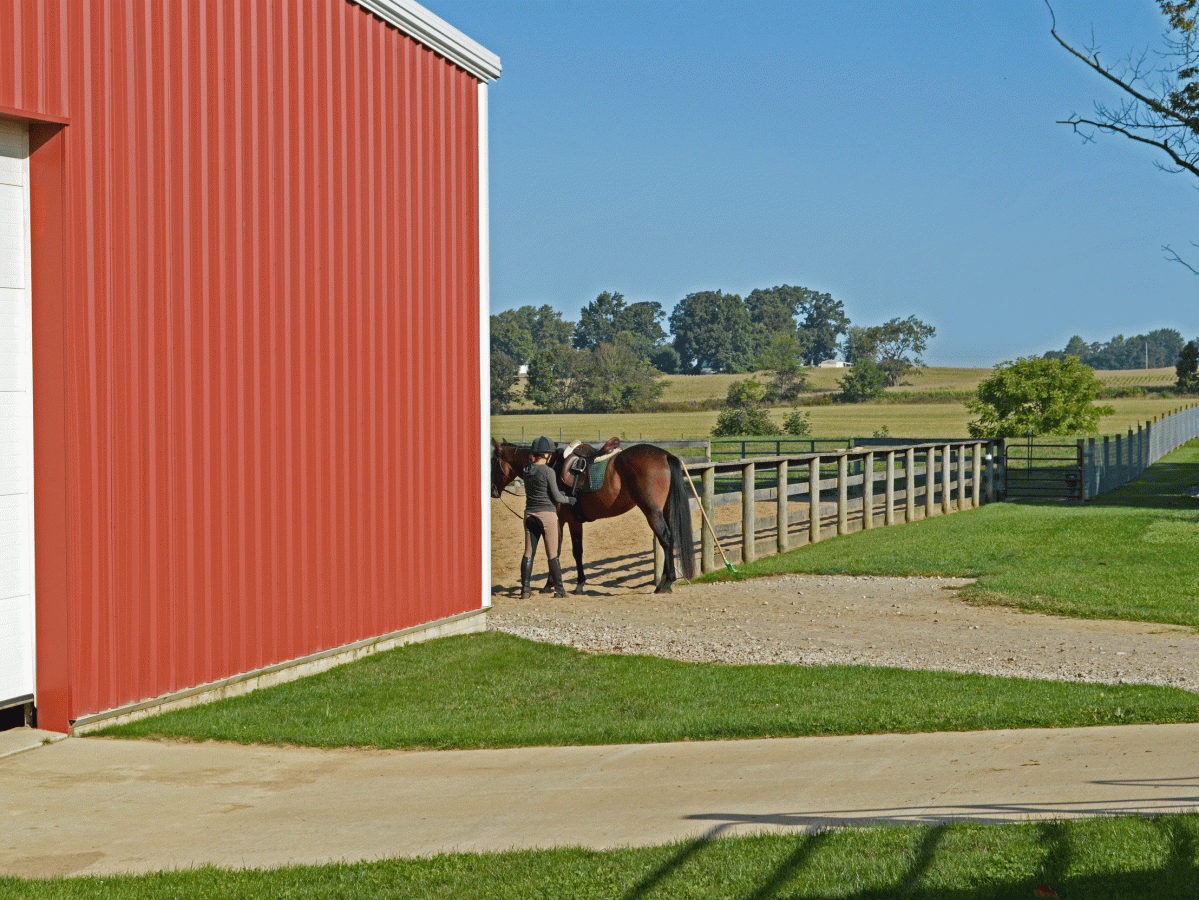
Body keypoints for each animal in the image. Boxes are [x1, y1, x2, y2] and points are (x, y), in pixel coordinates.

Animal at [491, 439, 697, 594]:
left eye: (492, 462)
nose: (493, 491)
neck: (551, 466)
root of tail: (664, 455)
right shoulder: (574, 521)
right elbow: (577, 551)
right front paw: (579, 584)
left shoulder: (559, 520)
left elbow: (556, 549)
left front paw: (551, 585)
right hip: (665, 510)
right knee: (669, 539)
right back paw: (664, 581)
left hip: (652, 511)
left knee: (666, 538)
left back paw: (666, 583)